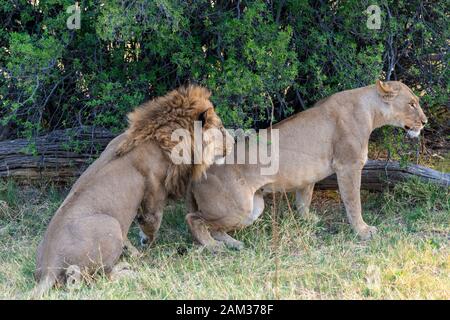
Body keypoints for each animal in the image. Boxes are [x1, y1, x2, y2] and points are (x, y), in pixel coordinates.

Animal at [33, 85, 234, 298]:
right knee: (98, 277)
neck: (160, 136)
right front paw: (145, 243)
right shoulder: (155, 192)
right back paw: (128, 270)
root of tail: (50, 267)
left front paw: (136, 246)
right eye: (221, 128)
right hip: (110, 225)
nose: (234, 142)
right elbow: (152, 223)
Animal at [185, 79, 428, 250]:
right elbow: (353, 202)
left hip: (253, 208)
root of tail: (196, 175)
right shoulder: (349, 165)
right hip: (238, 207)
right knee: (194, 219)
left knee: (215, 227)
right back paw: (214, 247)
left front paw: (308, 220)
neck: (370, 109)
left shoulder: (309, 175)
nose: (425, 121)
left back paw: (233, 244)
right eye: (412, 104)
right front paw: (363, 231)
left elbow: (305, 199)